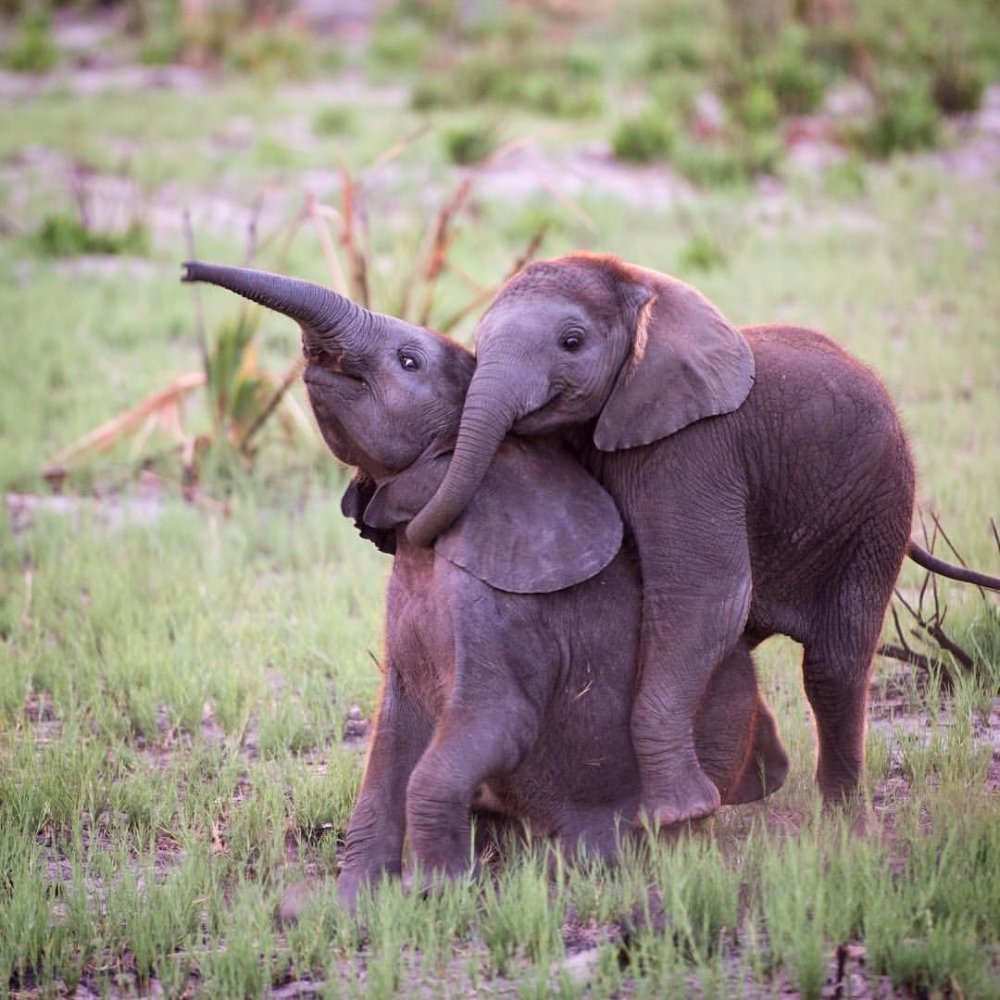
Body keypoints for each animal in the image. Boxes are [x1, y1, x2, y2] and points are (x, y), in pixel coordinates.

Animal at [180, 260, 788, 916]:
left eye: (409, 361)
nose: (187, 270)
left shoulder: (499, 617)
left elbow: (490, 726)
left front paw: (433, 893)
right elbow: (388, 744)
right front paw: (342, 905)